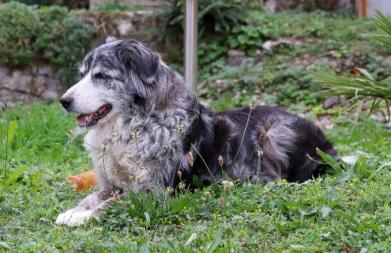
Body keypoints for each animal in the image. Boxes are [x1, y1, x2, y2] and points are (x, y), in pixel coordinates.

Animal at [54, 38, 336, 226]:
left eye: (101, 76)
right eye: (83, 74)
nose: (63, 101)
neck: (136, 125)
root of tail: (329, 147)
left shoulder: (156, 191)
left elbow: (115, 203)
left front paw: (82, 216)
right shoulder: (114, 184)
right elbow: (93, 196)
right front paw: (74, 210)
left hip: (274, 133)